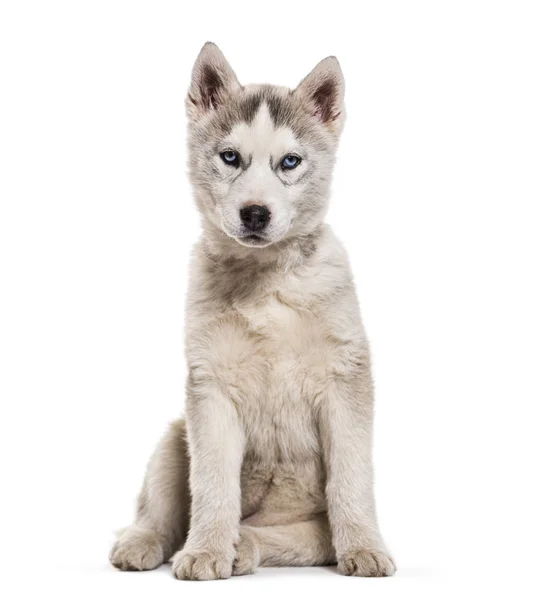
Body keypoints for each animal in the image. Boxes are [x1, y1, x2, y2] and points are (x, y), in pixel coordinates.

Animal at [110, 43, 398, 580]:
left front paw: (365, 547)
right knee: (162, 512)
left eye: (290, 161)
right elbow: (212, 483)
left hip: (309, 536)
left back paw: (244, 545)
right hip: (173, 437)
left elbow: (351, 476)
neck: (267, 281)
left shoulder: (346, 380)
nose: (256, 213)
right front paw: (205, 550)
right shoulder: (210, 389)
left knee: (286, 537)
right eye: (230, 158)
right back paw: (151, 541)